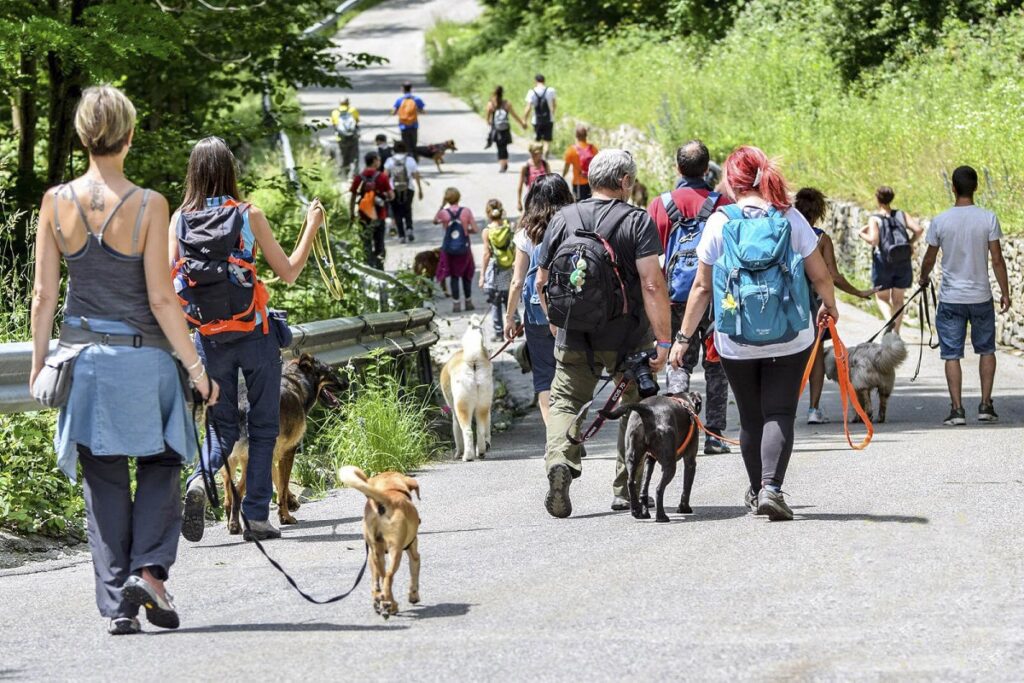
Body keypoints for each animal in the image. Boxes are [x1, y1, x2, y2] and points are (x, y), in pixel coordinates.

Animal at [222, 352, 346, 532]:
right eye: (330, 371)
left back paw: (231, 521)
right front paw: (285, 516)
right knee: (238, 491)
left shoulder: (274, 452)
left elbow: (278, 481)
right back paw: (236, 524)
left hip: (230, 458)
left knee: (228, 493)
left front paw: (291, 501)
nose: (347, 383)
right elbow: (282, 485)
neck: (296, 380)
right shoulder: (288, 451)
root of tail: (240, 406)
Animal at [333, 464, 417, 618]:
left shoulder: (372, 555)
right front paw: (414, 596)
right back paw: (391, 605)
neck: (391, 489)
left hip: (376, 553)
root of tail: (384, 501)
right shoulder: (413, 551)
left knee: (382, 579)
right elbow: (414, 574)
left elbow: (376, 581)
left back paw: (384, 602)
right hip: (395, 552)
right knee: (388, 577)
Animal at [438, 317, 493, 462]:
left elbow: (457, 434)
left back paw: (467, 456)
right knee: (480, 430)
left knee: (467, 432)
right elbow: (487, 430)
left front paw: (457, 453)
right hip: (483, 404)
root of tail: (472, 360)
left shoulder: (454, 414)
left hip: (462, 406)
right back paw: (481, 452)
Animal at [606, 389, 704, 524]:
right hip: (669, 465)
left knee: (632, 483)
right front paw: (684, 508)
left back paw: (638, 511)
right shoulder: (690, 461)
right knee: (659, 489)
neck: (684, 401)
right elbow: (686, 487)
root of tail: (648, 410)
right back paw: (661, 516)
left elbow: (644, 487)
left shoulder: (649, 460)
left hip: (632, 456)